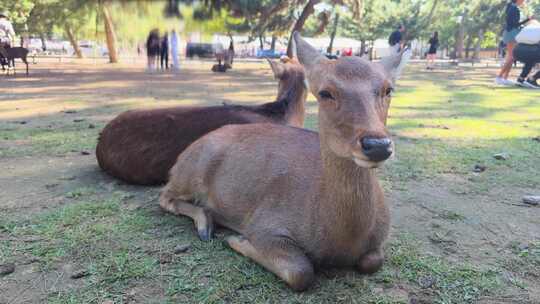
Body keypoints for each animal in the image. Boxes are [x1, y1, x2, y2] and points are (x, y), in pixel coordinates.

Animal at [159, 32, 410, 290]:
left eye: (389, 89)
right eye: (325, 92)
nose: (377, 145)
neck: (341, 241)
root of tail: (183, 155)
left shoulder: (378, 243)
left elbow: (373, 261)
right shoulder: (265, 223)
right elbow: (301, 271)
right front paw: (237, 240)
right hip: (190, 172)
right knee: (164, 196)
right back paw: (206, 224)